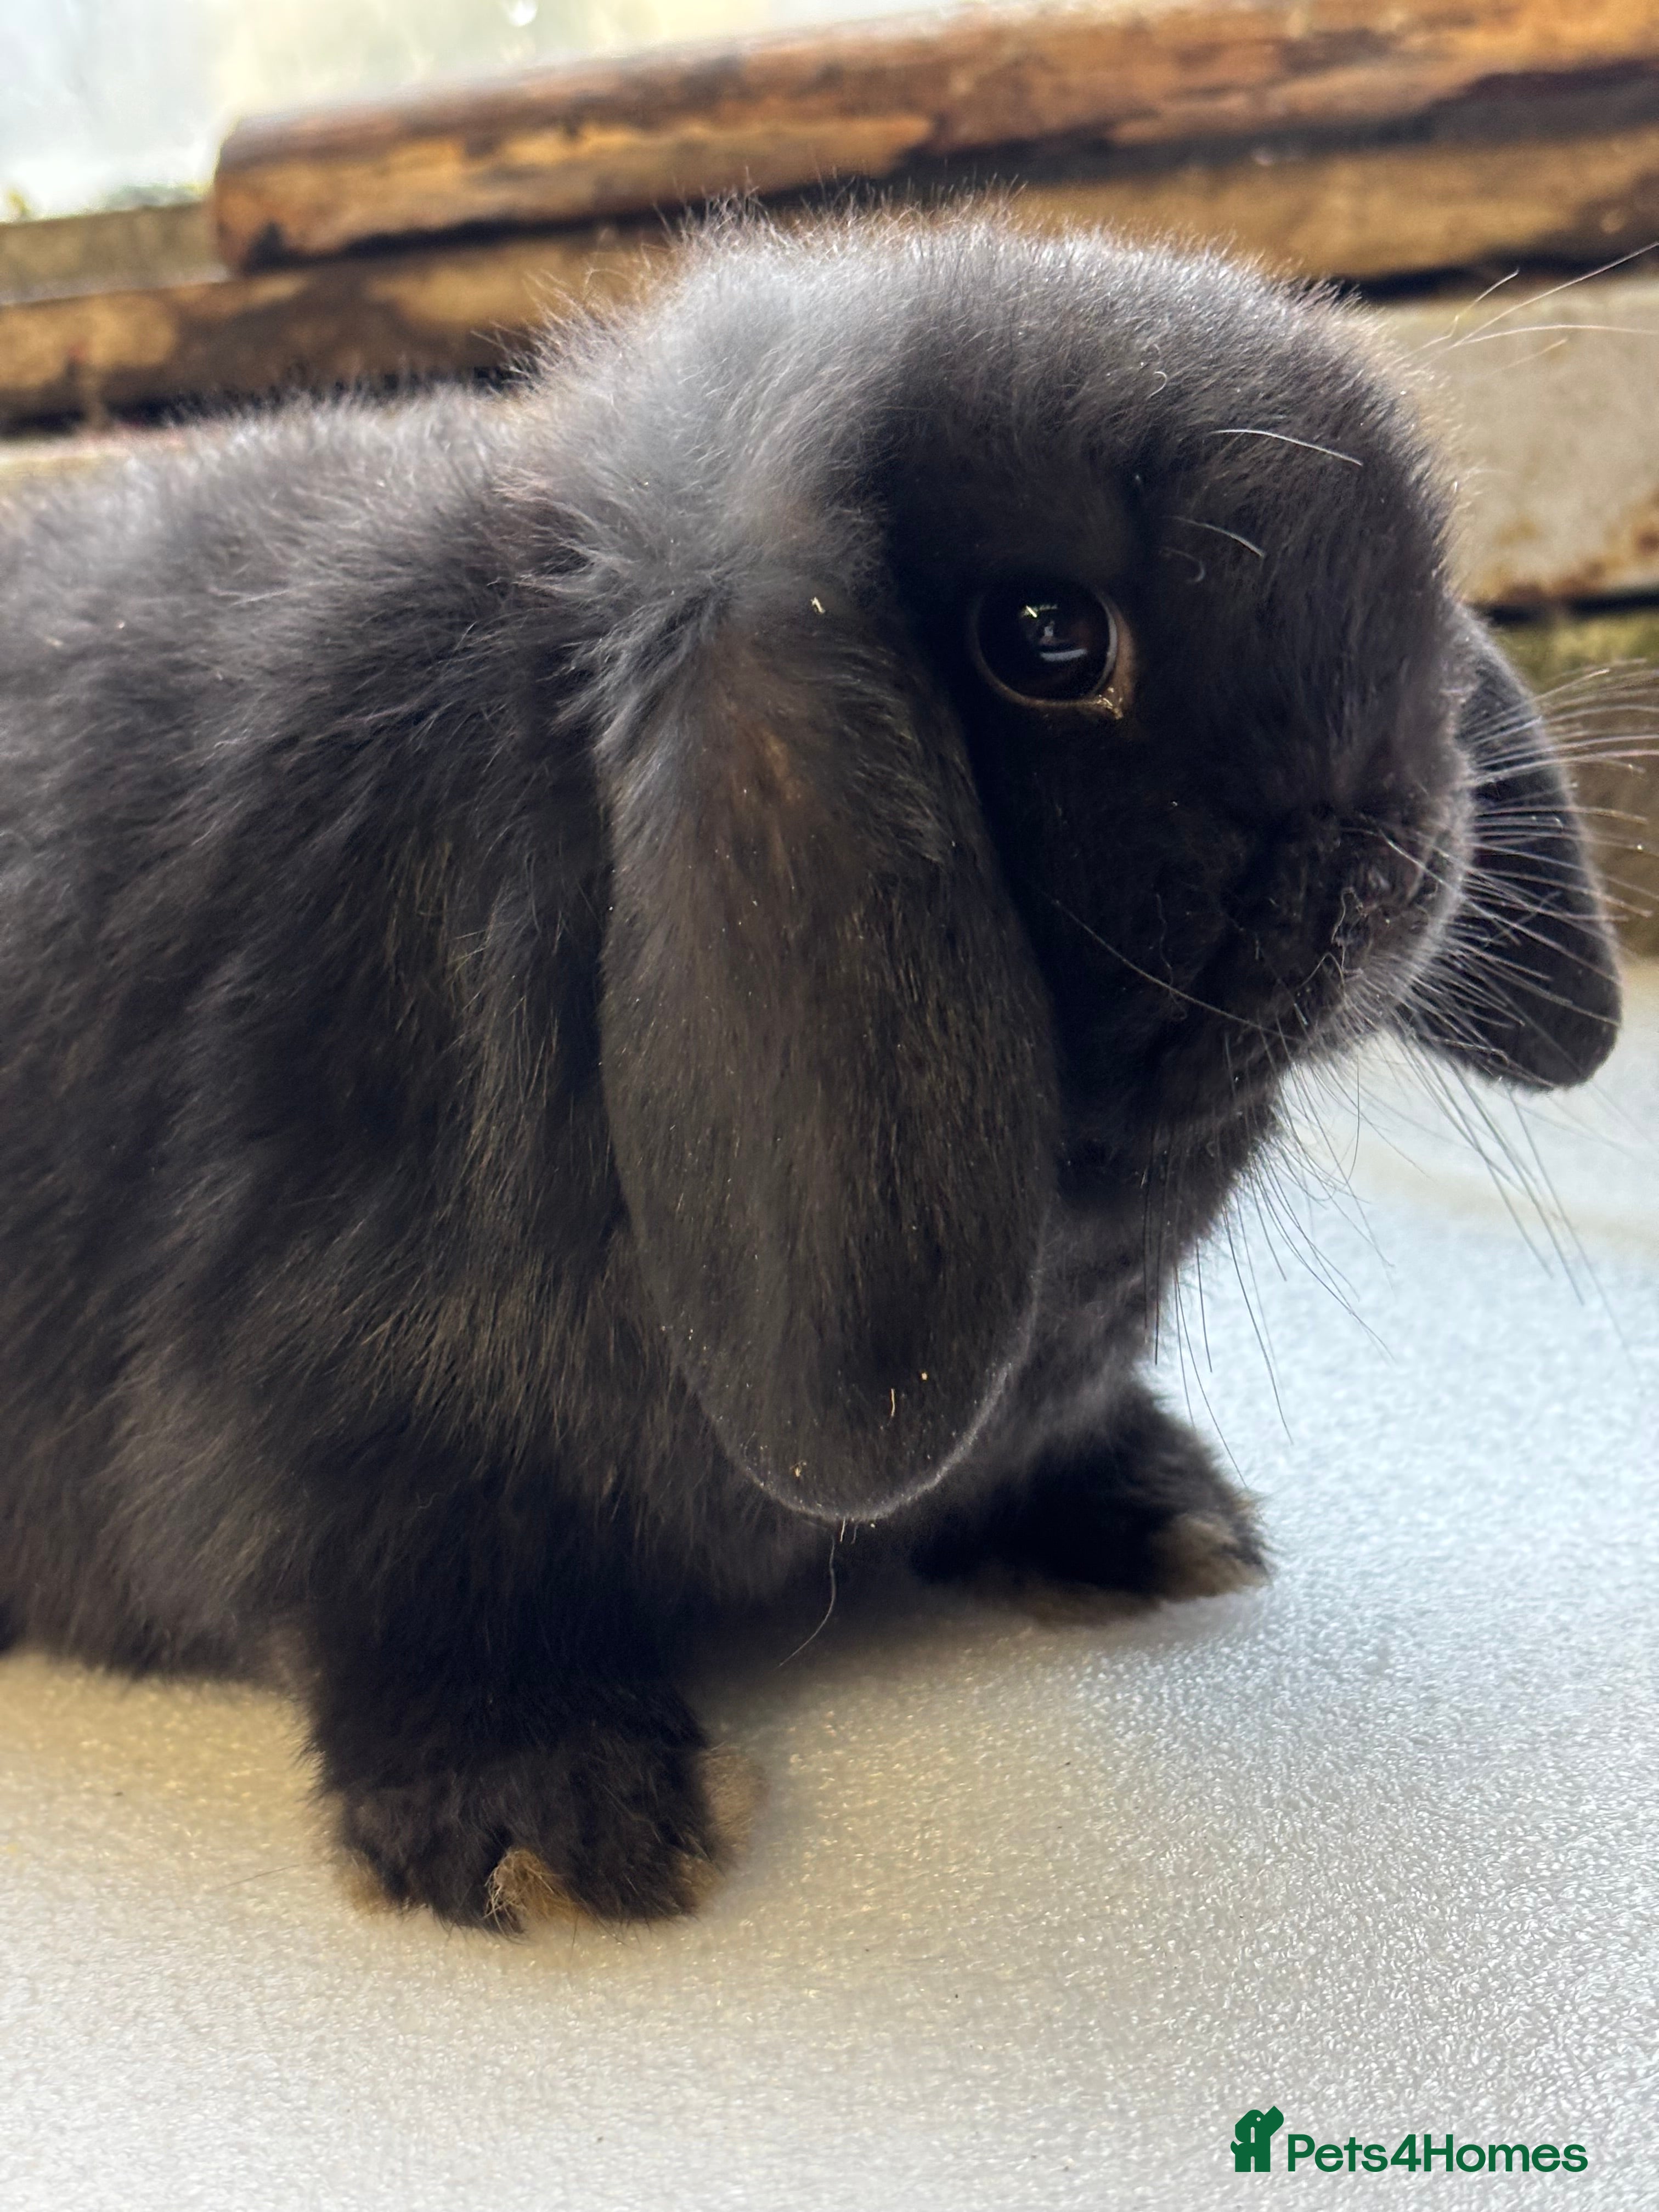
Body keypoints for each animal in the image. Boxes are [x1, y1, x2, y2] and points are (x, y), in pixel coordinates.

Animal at [0, 212, 1621, 1928]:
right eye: (1047, 637)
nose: (1391, 860)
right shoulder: (315, 1422)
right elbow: (403, 1597)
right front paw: (552, 1824)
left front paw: (1156, 1514)